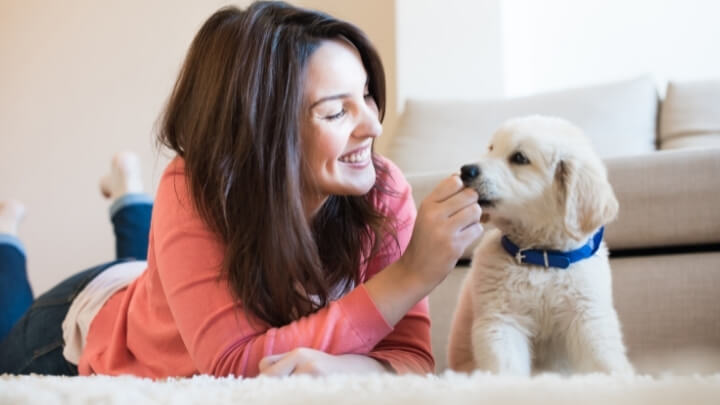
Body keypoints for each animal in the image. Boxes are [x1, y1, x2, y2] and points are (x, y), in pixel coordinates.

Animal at [448, 114, 632, 376]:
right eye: (491, 148)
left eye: (519, 158)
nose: (466, 170)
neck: (542, 255)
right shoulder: (502, 319)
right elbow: (507, 368)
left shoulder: (587, 317)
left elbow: (604, 362)